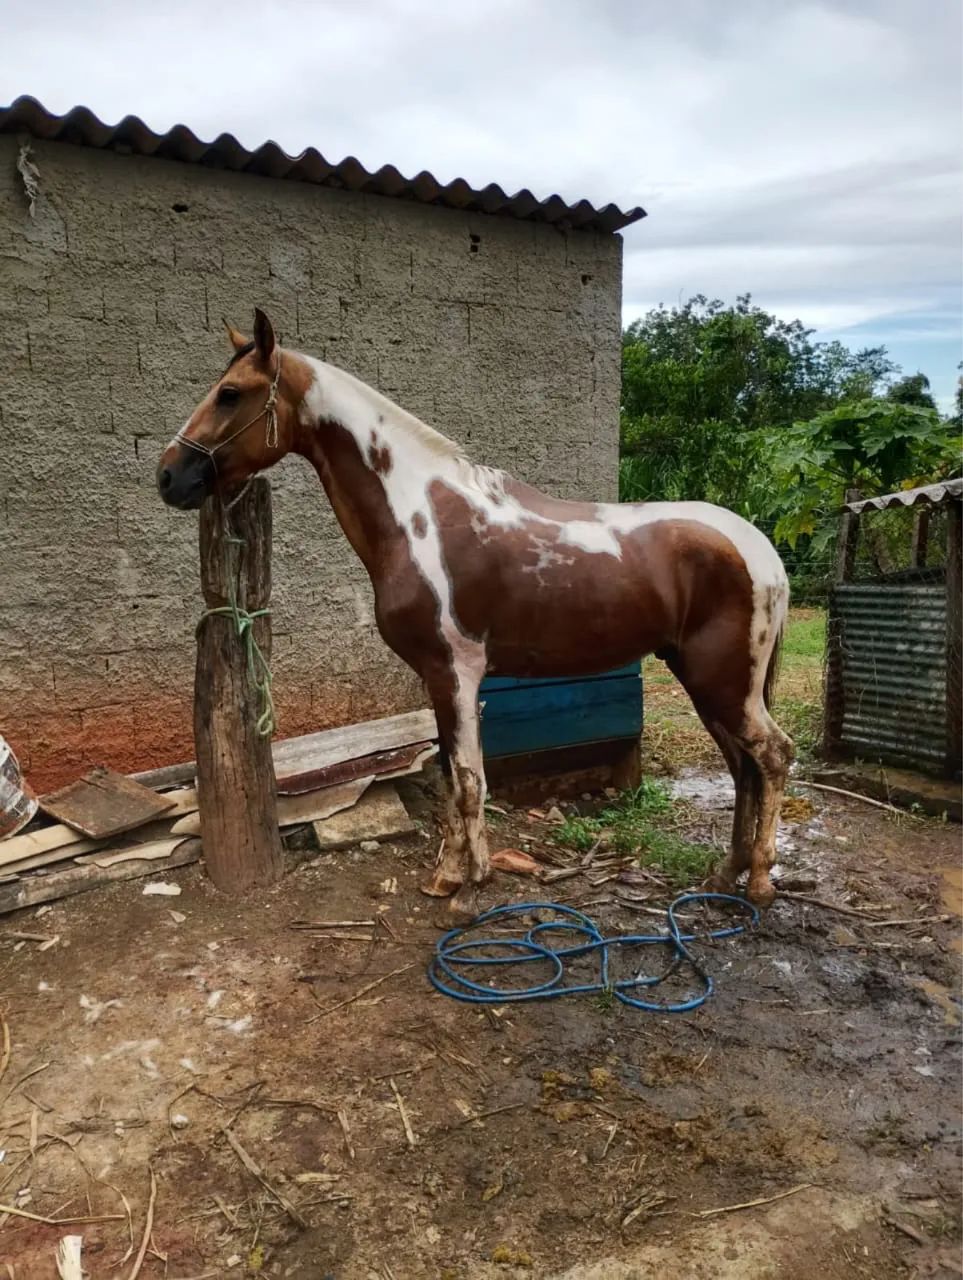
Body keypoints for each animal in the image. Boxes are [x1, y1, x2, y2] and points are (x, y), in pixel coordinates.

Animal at [157, 307, 794, 917]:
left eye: (231, 393)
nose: (169, 476)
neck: (419, 518)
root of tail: (763, 551)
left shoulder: (455, 673)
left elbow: (468, 781)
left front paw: (469, 890)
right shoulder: (439, 680)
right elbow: (451, 776)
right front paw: (447, 877)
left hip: (723, 685)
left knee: (773, 756)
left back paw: (762, 882)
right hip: (710, 684)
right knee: (743, 766)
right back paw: (727, 873)